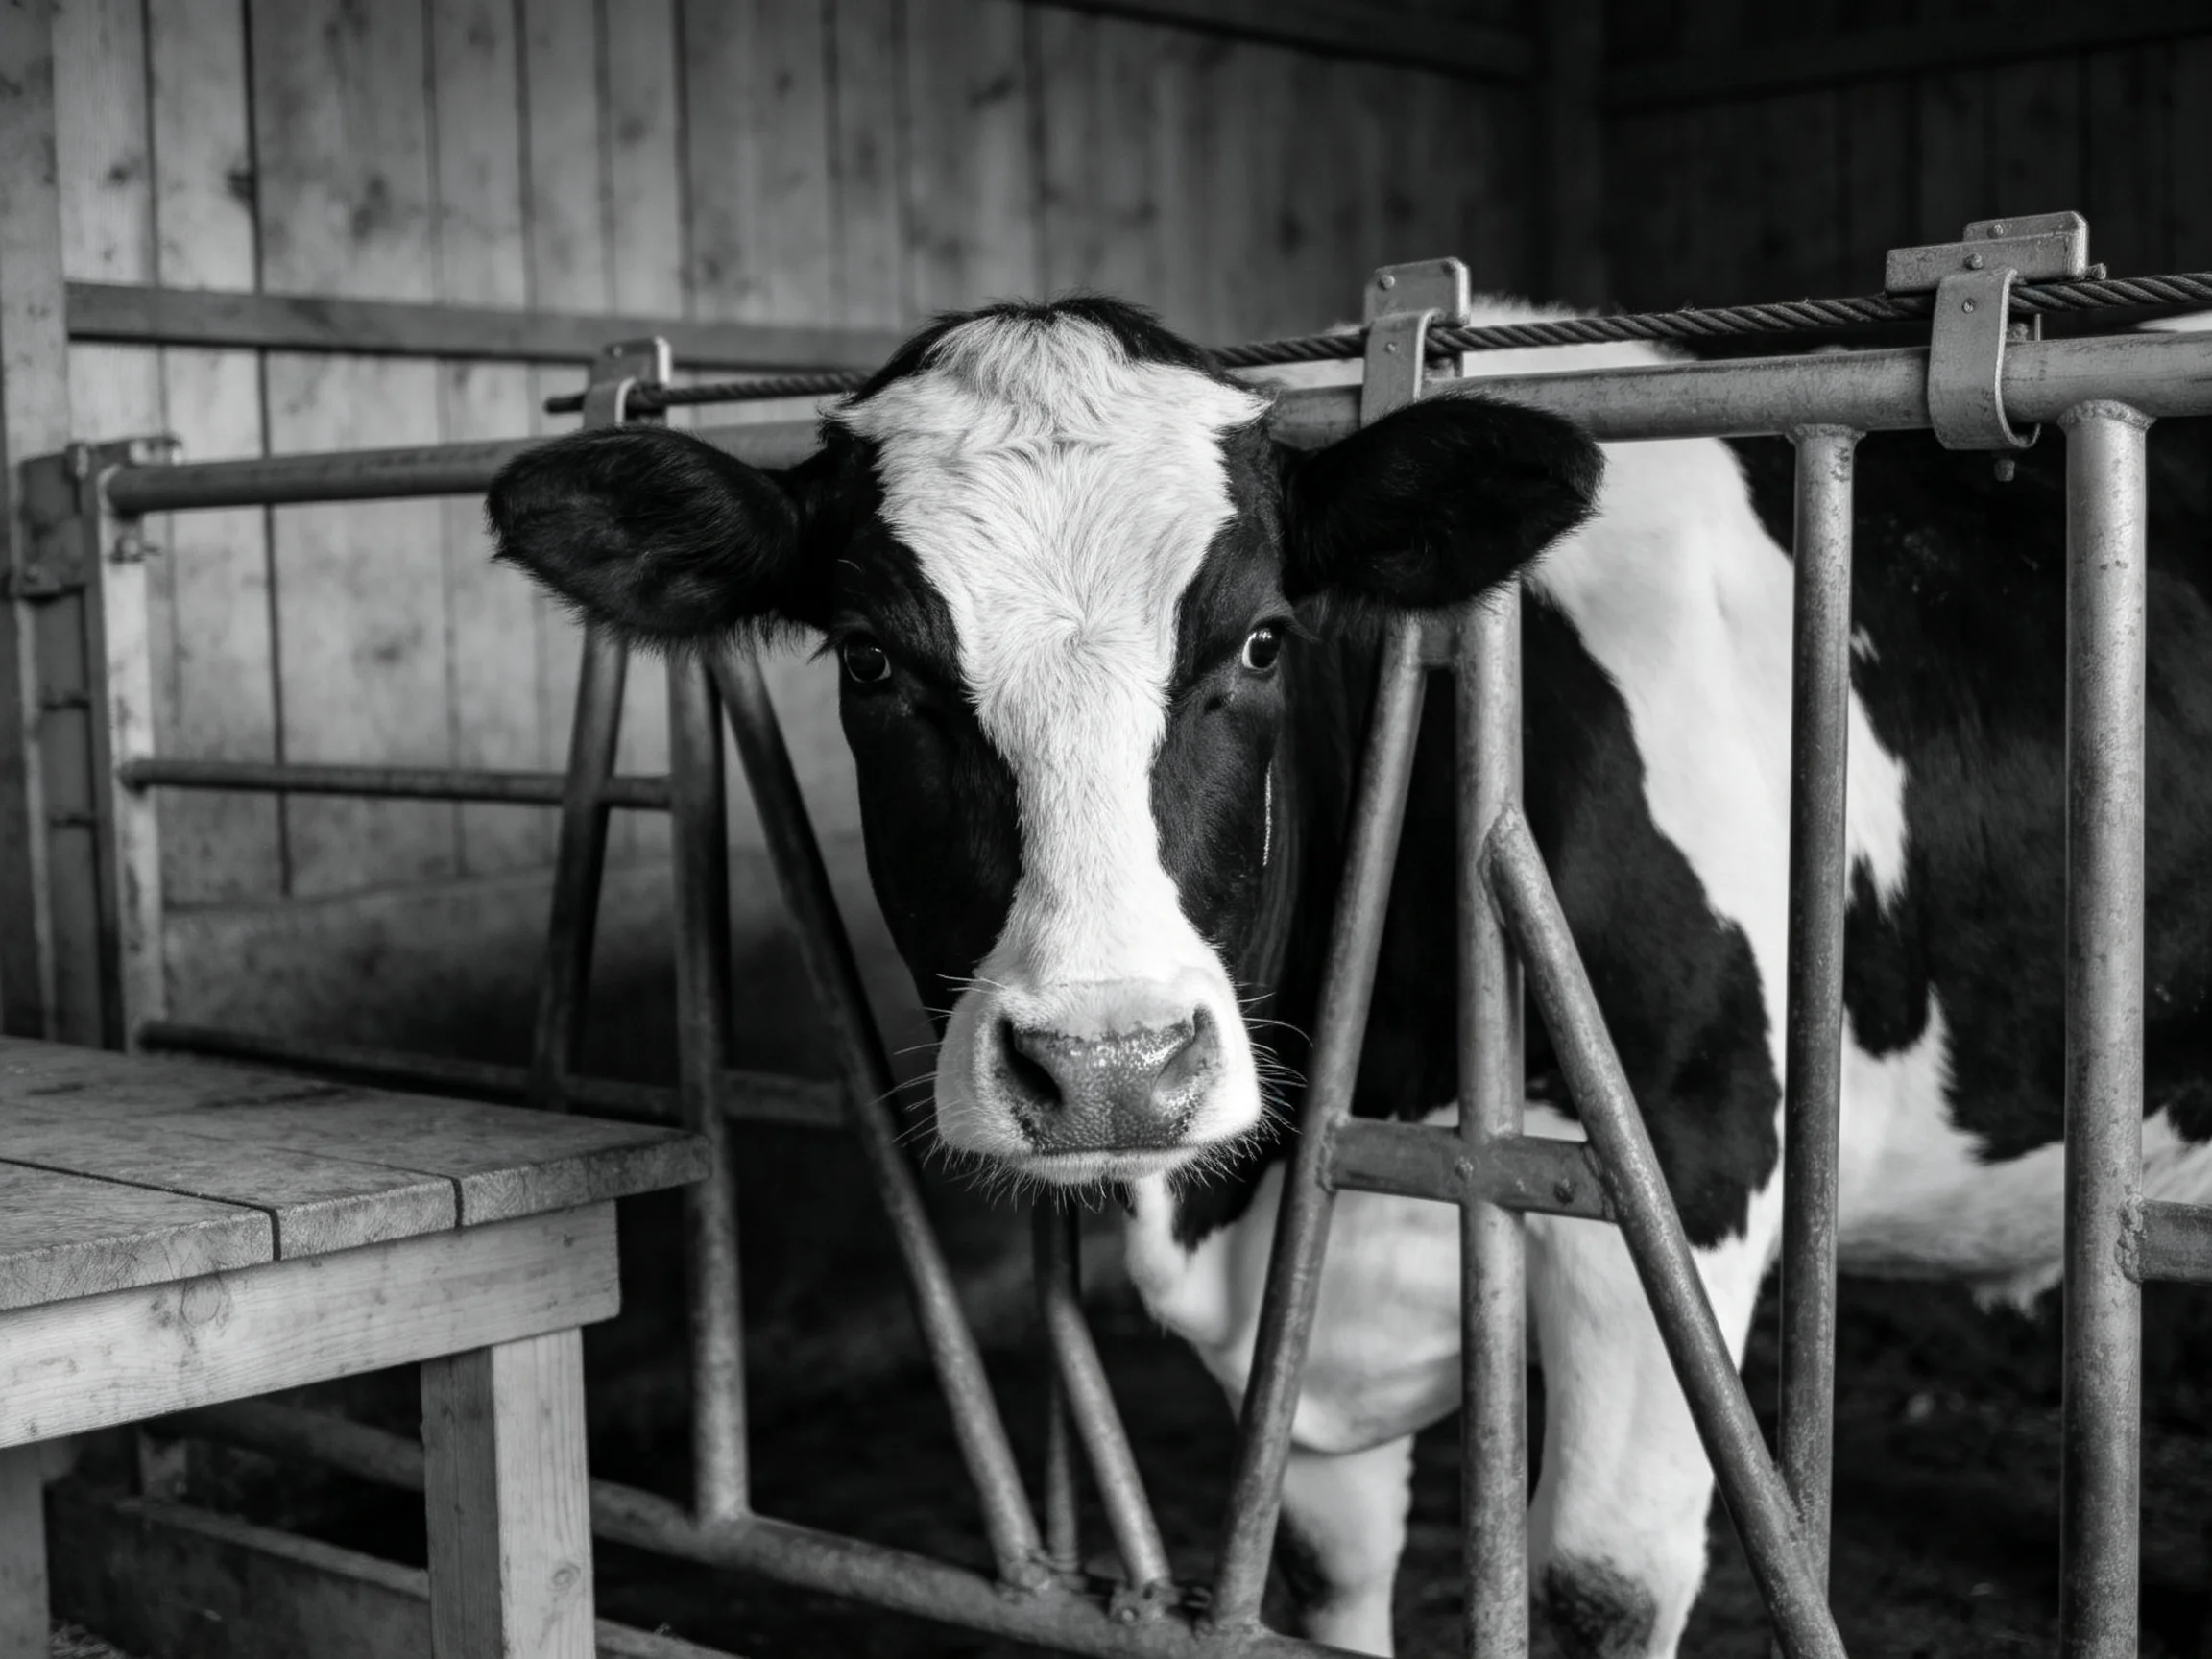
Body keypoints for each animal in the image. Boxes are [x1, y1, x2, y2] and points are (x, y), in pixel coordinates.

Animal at [485, 295, 2212, 1659]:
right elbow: (1317, 1573)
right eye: (868, 659)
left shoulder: (1691, 1163)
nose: (1111, 1065)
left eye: (1258, 640)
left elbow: (1599, 1579)